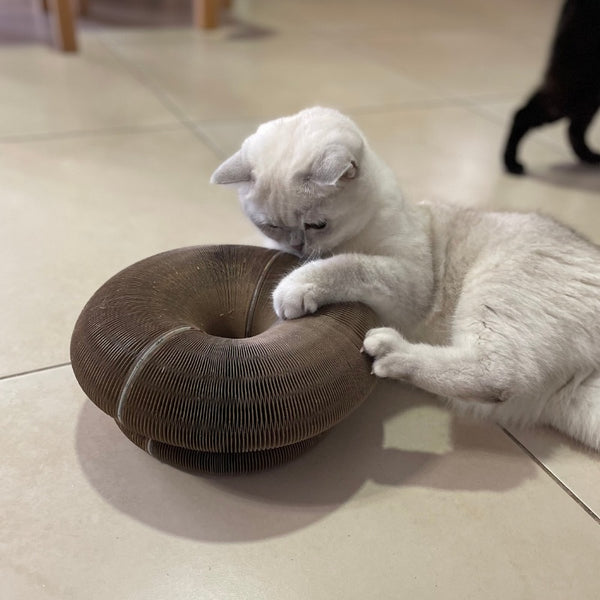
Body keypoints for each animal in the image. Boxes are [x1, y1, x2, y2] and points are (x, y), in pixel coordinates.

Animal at [211, 105, 600, 450]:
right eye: (270, 226)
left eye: (316, 224)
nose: (295, 246)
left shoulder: (409, 279)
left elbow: (347, 265)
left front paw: (294, 286)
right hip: (581, 406)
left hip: (495, 290)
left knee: (498, 376)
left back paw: (389, 352)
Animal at [504, 1, 596, 176]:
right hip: (575, 86)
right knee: (522, 114)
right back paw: (511, 163)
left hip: (588, 94)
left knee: (575, 129)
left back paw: (589, 156)